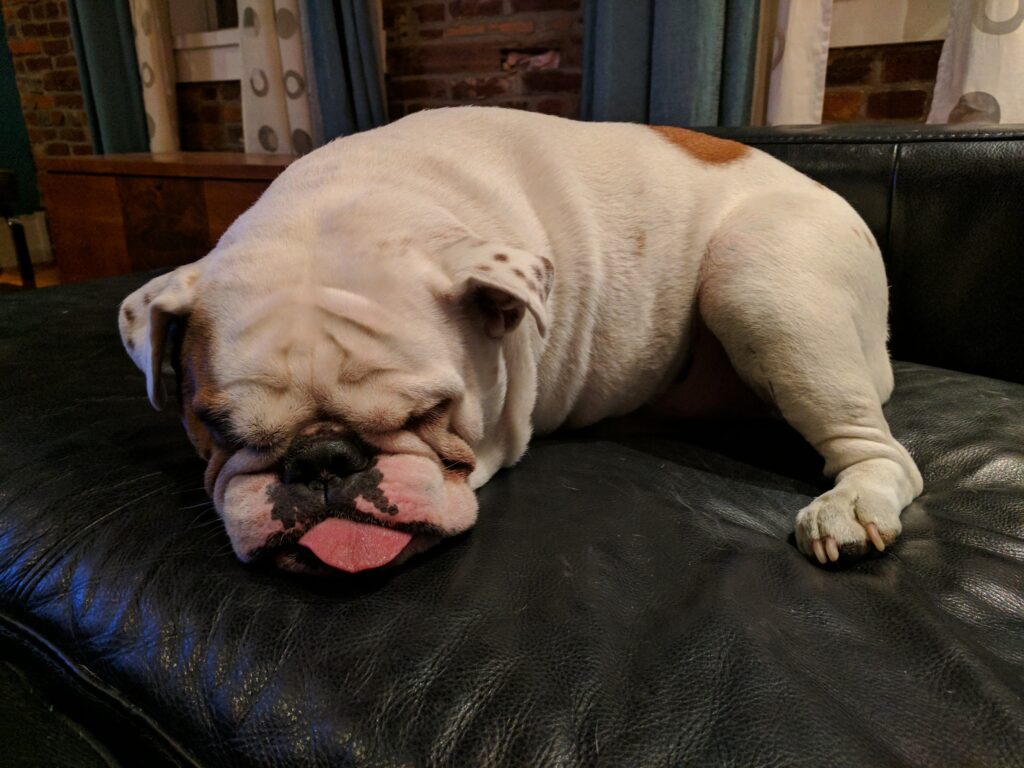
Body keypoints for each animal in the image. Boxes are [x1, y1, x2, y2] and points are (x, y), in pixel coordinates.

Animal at [117, 109, 921, 577]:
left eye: (428, 414)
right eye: (216, 429)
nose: (322, 460)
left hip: (758, 280)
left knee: (884, 452)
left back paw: (851, 504)